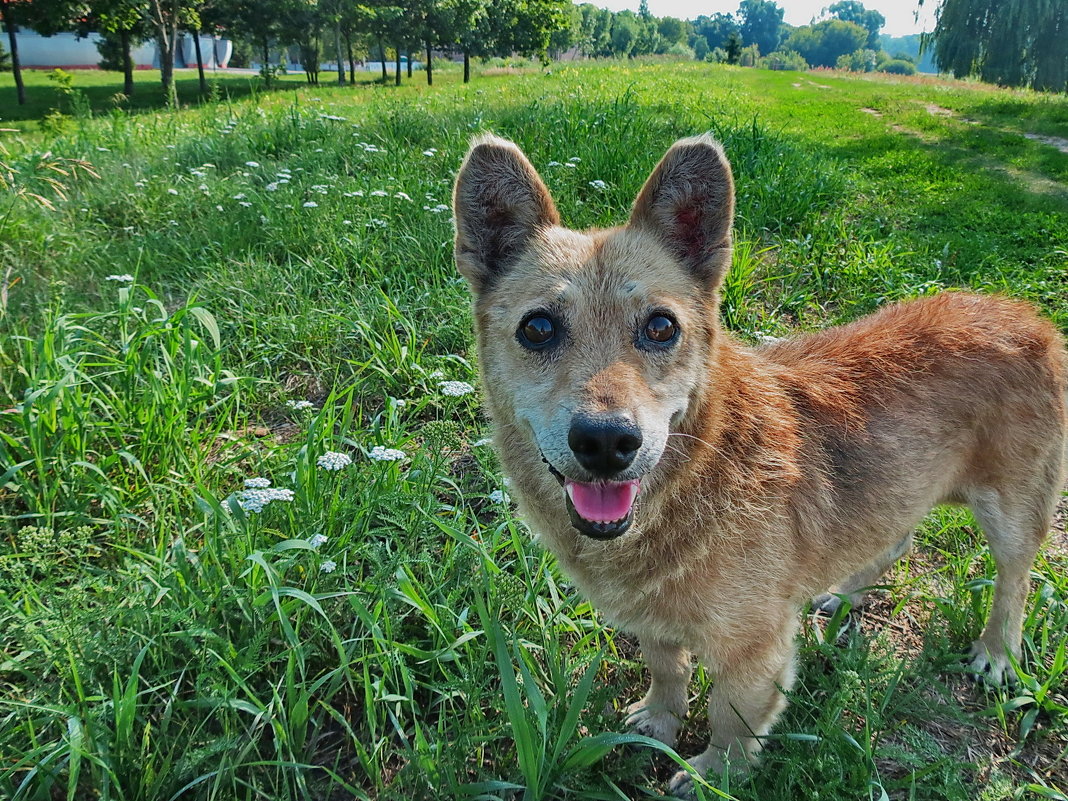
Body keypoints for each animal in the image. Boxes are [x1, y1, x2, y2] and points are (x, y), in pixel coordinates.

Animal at [450, 133, 1068, 798]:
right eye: (537, 327)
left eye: (661, 327)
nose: (607, 442)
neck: (694, 475)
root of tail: (1026, 314)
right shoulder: (655, 623)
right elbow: (667, 674)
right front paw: (659, 723)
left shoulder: (753, 652)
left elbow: (731, 718)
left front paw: (714, 774)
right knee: (897, 540)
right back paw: (845, 596)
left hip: (1013, 512)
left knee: (1014, 581)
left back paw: (996, 654)